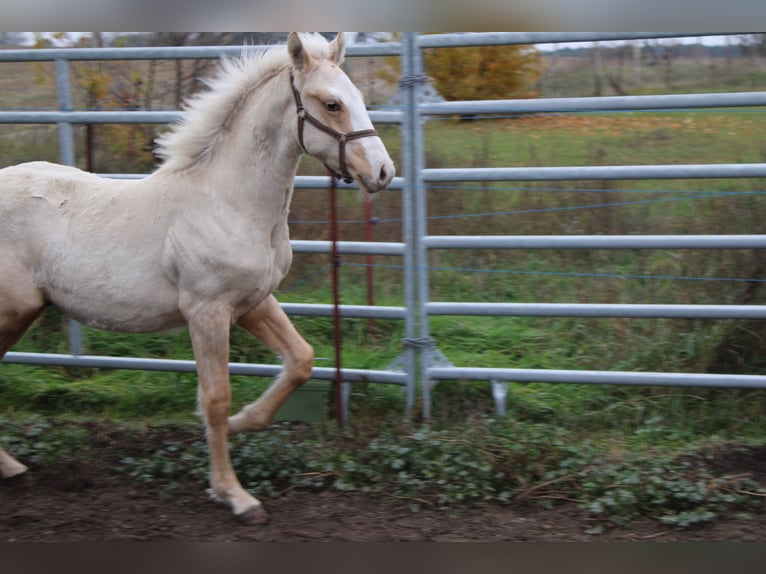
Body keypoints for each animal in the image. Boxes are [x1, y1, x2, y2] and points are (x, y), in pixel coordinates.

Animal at [0, 31, 396, 528]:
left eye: (357, 97)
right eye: (331, 104)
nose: (383, 172)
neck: (228, 201)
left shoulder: (252, 303)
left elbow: (300, 361)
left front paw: (244, 421)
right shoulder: (206, 312)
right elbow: (215, 398)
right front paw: (235, 495)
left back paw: (11, 467)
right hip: (12, 310)